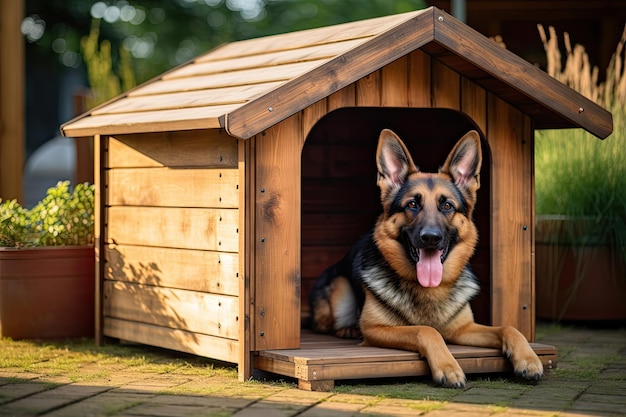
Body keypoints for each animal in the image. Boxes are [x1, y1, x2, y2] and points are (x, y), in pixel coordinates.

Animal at [308, 129, 540, 386]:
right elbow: (426, 329)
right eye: (412, 204)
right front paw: (448, 367)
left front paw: (529, 360)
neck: (430, 289)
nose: (431, 237)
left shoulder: (464, 329)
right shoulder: (376, 329)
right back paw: (347, 328)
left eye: (447, 206)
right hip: (340, 290)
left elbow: (509, 328)